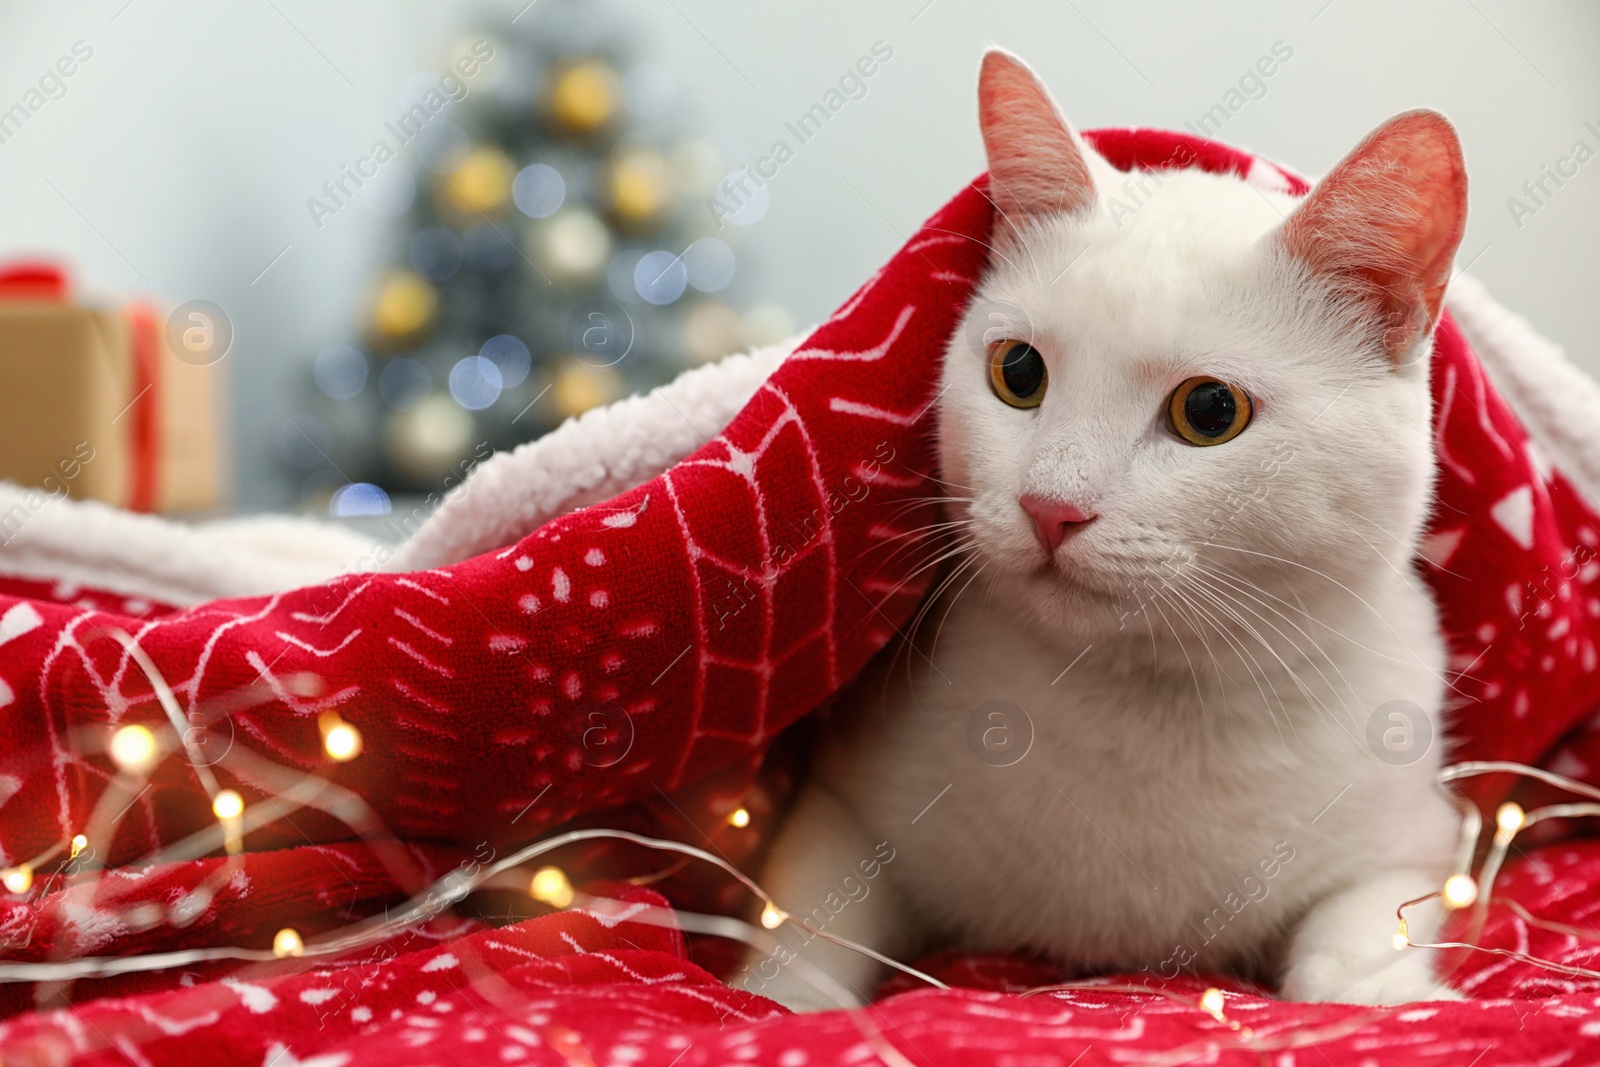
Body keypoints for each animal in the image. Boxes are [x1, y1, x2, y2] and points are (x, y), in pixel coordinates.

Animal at [742, 49, 1465, 1017]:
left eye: (1210, 410)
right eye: (1017, 371)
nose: (1050, 505)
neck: (1140, 703)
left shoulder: (1418, 839)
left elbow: (1361, 932)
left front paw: (1378, 998)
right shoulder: (838, 807)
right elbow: (806, 934)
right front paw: (774, 1004)